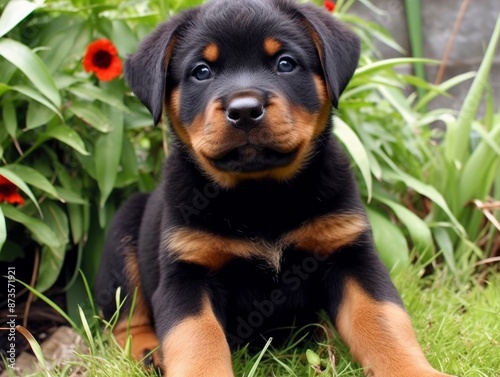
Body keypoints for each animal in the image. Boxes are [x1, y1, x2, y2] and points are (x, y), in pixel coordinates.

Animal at [94, 0, 454, 376]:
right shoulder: (186, 272)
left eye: (285, 63)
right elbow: (196, 340)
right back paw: (148, 352)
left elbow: (383, 321)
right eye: (201, 71)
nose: (244, 110)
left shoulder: (350, 253)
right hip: (122, 239)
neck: (261, 195)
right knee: (124, 322)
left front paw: (413, 370)